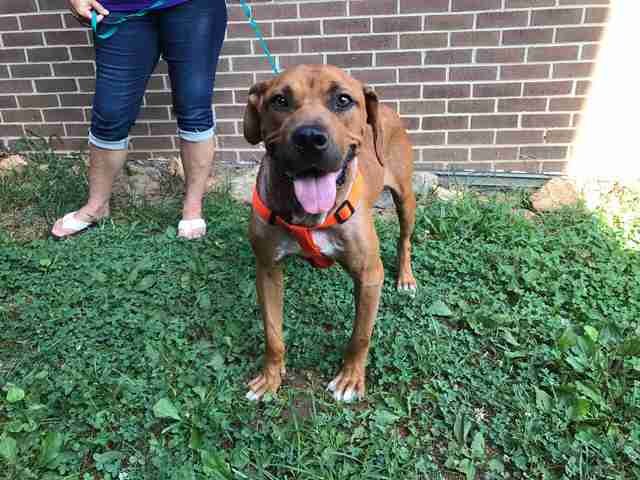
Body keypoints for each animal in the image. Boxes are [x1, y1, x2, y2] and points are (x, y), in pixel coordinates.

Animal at [242, 63, 418, 402]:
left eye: (343, 100)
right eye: (280, 100)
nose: (310, 138)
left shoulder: (369, 275)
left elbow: (360, 335)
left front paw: (350, 379)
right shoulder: (267, 269)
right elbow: (272, 334)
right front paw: (270, 378)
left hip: (406, 199)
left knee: (404, 240)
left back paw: (405, 277)